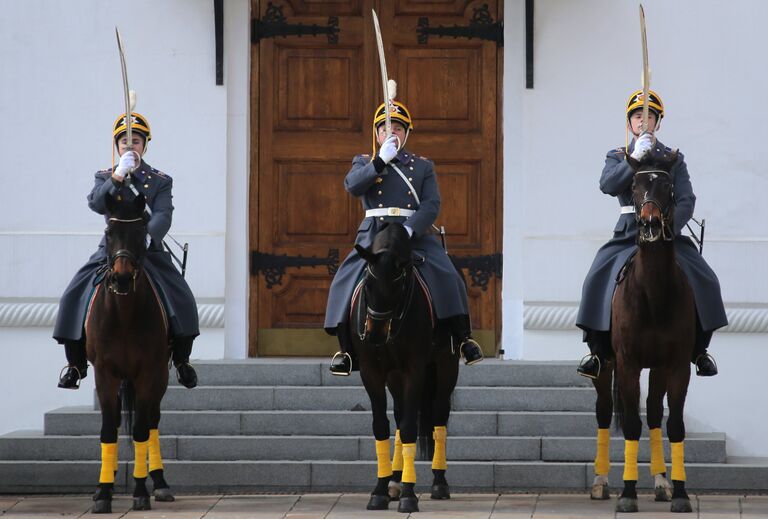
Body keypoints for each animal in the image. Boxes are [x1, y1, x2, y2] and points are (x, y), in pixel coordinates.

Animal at [85, 195, 174, 516]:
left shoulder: (147, 372)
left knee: (152, 421)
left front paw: (140, 491)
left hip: (160, 376)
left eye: (140, 233)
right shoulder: (104, 373)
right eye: (109, 232)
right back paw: (107, 480)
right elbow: (108, 430)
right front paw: (103, 492)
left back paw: (159, 482)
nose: (122, 278)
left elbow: (140, 431)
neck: (123, 315)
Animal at [352, 224, 460, 516]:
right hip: (394, 376)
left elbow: (411, 427)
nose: (374, 336)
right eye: (367, 283)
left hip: (446, 366)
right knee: (400, 416)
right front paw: (380, 489)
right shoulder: (372, 371)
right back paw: (395, 481)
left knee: (438, 416)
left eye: (397, 286)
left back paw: (439, 481)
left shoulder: (415, 369)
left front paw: (410, 495)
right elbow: (382, 426)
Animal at [592, 148, 700, 512]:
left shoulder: (677, 365)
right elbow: (629, 424)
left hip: (658, 368)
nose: (651, 223)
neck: (653, 294)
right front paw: (627, 493)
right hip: (605, 366)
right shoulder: (627, 363)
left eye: (667, 186)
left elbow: (674, 424)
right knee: (603, 412)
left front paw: (680, 492)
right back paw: (600, 482)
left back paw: (661, 481)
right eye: (635, 186)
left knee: (654, 412)